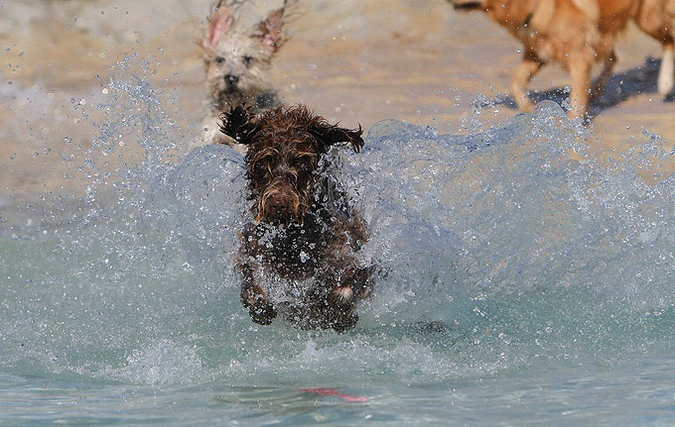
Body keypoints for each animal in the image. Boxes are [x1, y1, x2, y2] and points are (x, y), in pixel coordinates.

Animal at [219, 105, 372, 332]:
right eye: (264, 163)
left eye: (302, 163)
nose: (279, 203)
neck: (294, 237)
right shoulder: (251, 246)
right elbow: (249, 280)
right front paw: (261, 306)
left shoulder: (353, 252)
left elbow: (346, 288)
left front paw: (337, 311)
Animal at [448, 0, 675, 118]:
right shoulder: (537, 54)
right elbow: (516, 82)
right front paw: (527, 107)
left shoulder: (579, 58)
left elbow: (576, 101)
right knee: (612, 57)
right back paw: (597, 90)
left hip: (647, 18)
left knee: (669, 41)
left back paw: (664, 83)